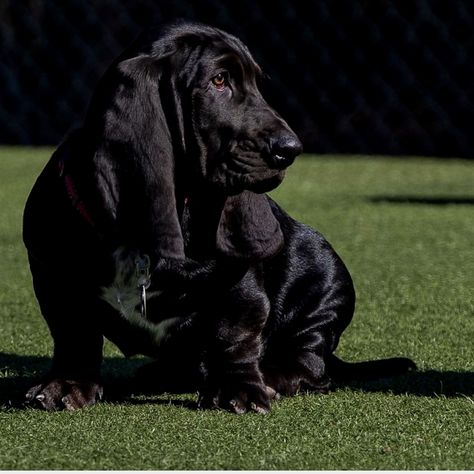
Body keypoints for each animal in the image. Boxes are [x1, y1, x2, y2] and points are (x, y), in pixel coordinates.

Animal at [22, 22, 414, 412]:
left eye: (257, 82)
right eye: (219, 80)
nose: (291, 149)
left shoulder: (240, 282)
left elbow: (234, 333)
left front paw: (236, 388)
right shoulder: (54, 279)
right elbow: (74, 334)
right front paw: (68, 383)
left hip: (326, 282)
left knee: (311, 362)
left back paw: (272, 375)